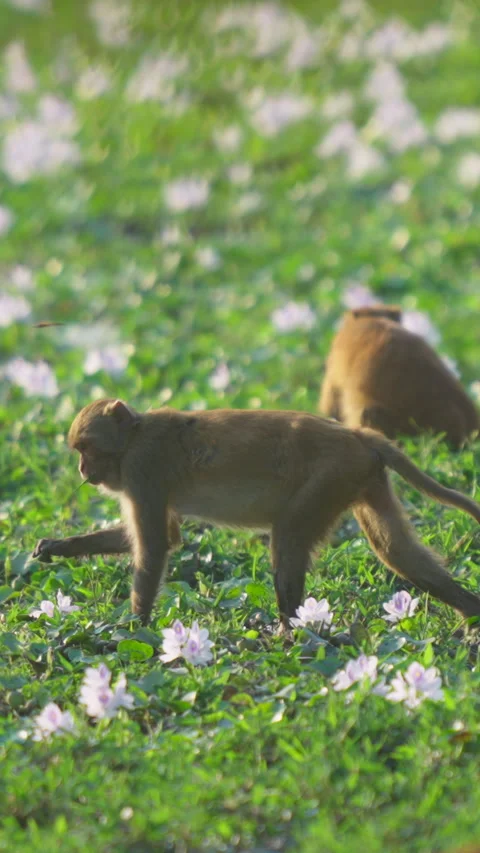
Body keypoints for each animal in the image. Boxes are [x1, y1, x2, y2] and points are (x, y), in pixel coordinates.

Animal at [32, 398, 480, 629]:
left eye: (87, 449)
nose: (83, 470)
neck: (133, 437)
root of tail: (357, 434)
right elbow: (166, 536)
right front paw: (57, 546)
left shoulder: (142, 468)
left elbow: (158, 544)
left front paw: (134, 628)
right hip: (361, 477)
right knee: (395, 551)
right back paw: (470, 613)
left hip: (330, 475)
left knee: (289, 536)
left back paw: (288, 634)